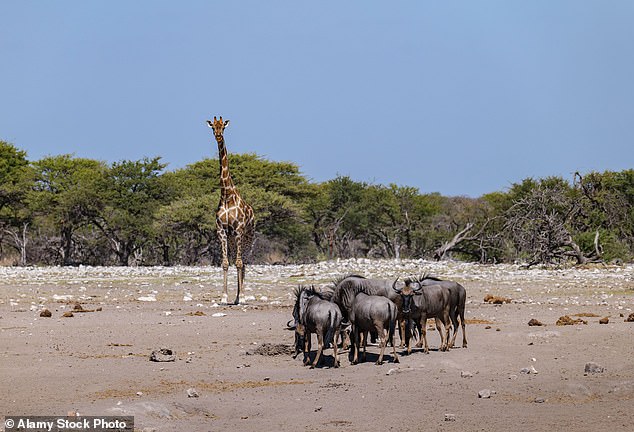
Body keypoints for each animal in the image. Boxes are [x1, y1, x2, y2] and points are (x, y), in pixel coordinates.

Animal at [207, 115, 256, 304]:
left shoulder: (239, 230)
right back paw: (235, 297)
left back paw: (242, 296)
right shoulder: (222, 231)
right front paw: (224, 297)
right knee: (238, 260)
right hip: (234, 239)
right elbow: (226, 263)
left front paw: (241, 296)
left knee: (245, 262)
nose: (218, 136)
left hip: (249, 236)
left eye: (223, 127)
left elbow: (239, 263)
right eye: (213, 127)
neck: (226, 195)